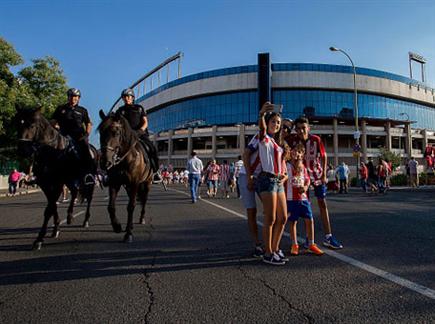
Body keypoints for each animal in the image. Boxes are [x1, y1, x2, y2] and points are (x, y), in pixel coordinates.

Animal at [15, 107, 97, 249]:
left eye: (32, 125)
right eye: (17, 124)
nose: (22, 150)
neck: (50, 150)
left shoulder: (58, 183)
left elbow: (49, 209)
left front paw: (39, 239)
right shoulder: (45, 184)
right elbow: (52, 206)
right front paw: (55, 228)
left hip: (88, 182)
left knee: (89, 198)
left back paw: (86, 220)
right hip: (69, 180)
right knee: (74, 192)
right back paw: (69, 216)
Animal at [98, 110, 154, 243]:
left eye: (116, 132)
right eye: (101, 132)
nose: (105, 162)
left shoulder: (134, 183)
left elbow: (131, 207)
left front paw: (128, 234)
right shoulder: (115, 183)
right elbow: (111, 207)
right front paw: (117, 226)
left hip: (146, 183)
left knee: (144, 200)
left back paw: (141, 218)